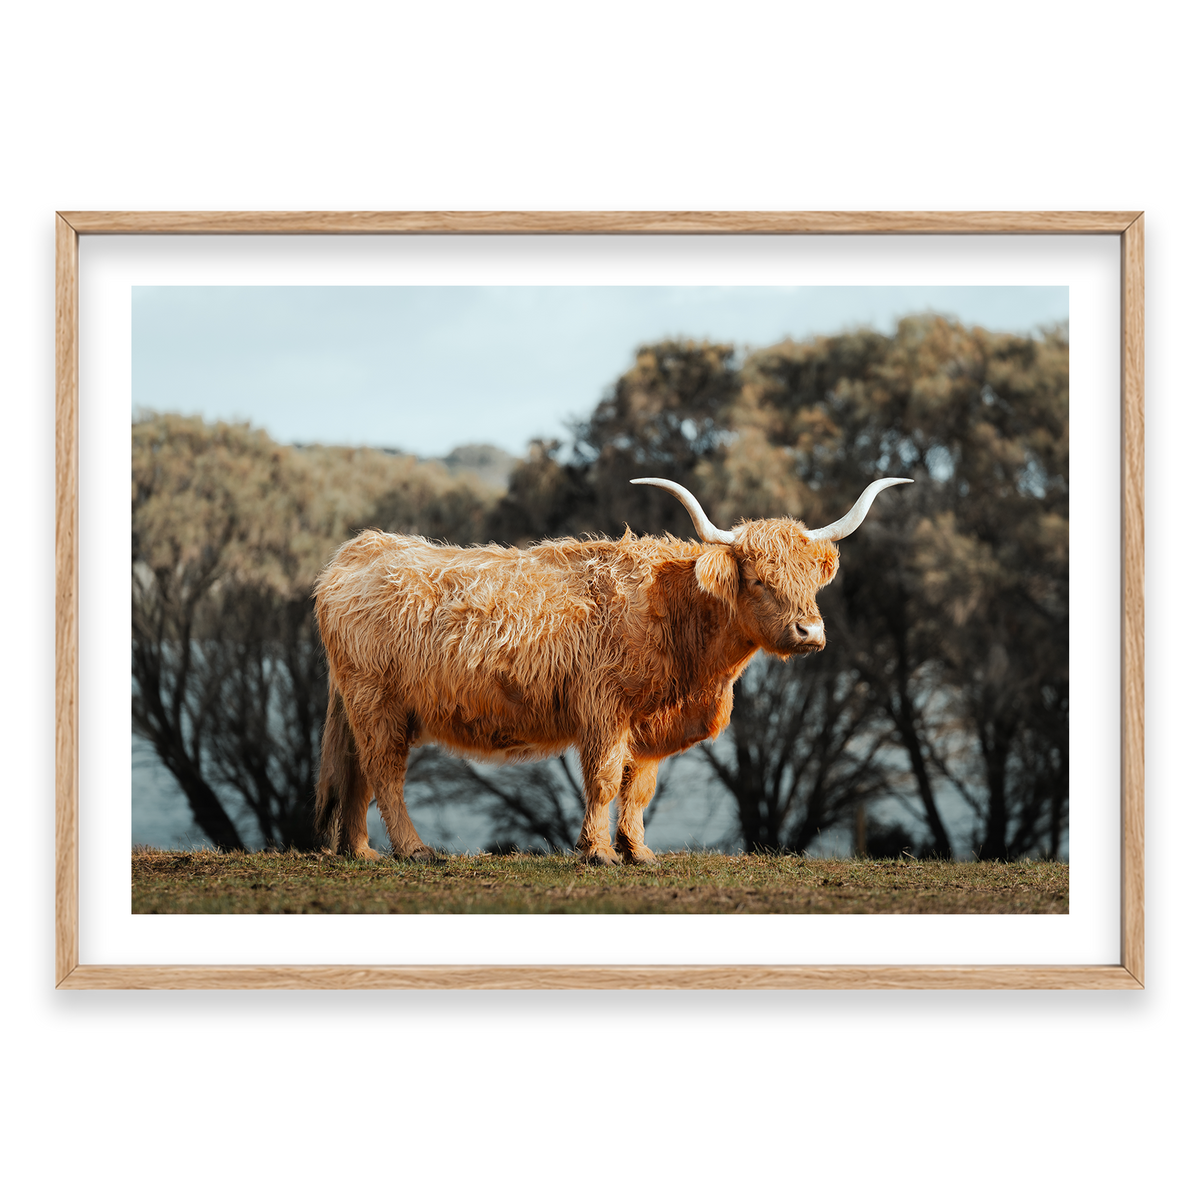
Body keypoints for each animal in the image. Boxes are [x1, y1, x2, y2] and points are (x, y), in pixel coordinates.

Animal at [313, 476, 911, 865]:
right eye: (761, 580)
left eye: (811, 580)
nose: (810, 632)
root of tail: (359, 549)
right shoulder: (604, 709)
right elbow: (602, 780)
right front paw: (598, 852)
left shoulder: (647, 723)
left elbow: (639, 787)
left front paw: (638, 851)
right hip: (377, 702)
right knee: (385, 773)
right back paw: (414, 851)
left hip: (364, 706)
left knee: (357, 774)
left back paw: (361, 852)